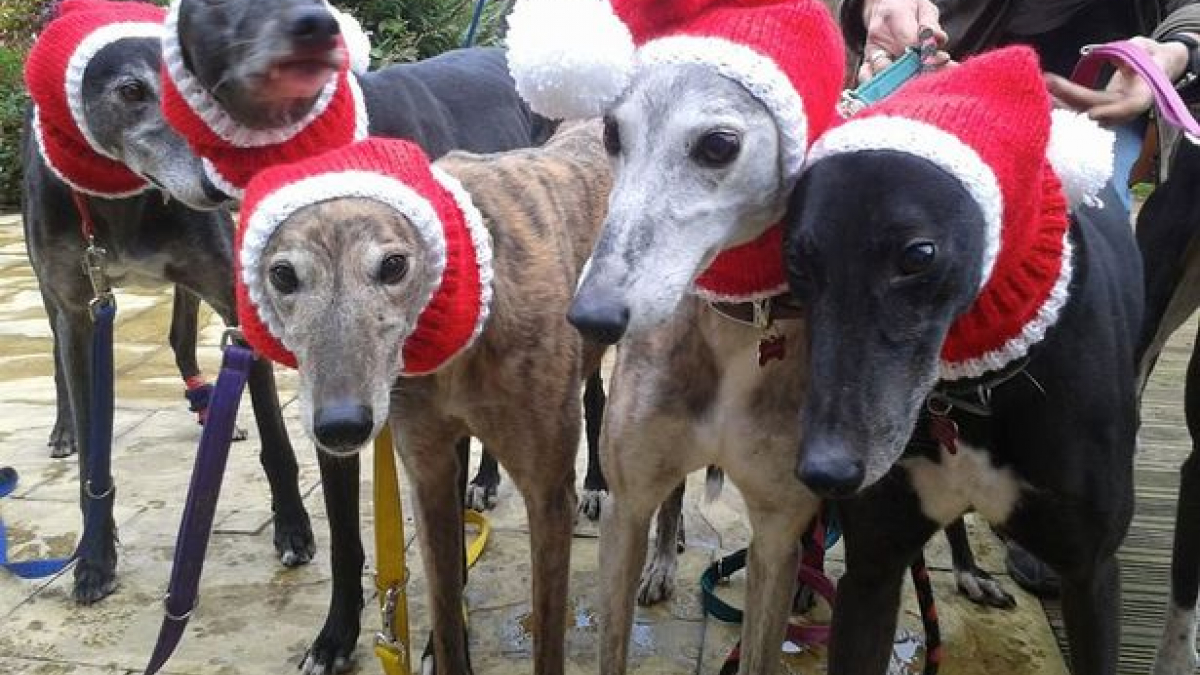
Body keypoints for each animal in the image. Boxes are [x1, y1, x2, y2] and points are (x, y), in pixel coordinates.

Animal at [22, 22, 314, 598]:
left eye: (202, 90)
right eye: (131, 90)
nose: (222, 184)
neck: (122, 201)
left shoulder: (228, 293)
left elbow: (277, 441)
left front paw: (293, 529)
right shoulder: (79, 307)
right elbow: (92, 466)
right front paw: (95, 556)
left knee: (181, 338)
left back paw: (212, 409)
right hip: (48, 291)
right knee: (58, 356)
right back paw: (64, 430)